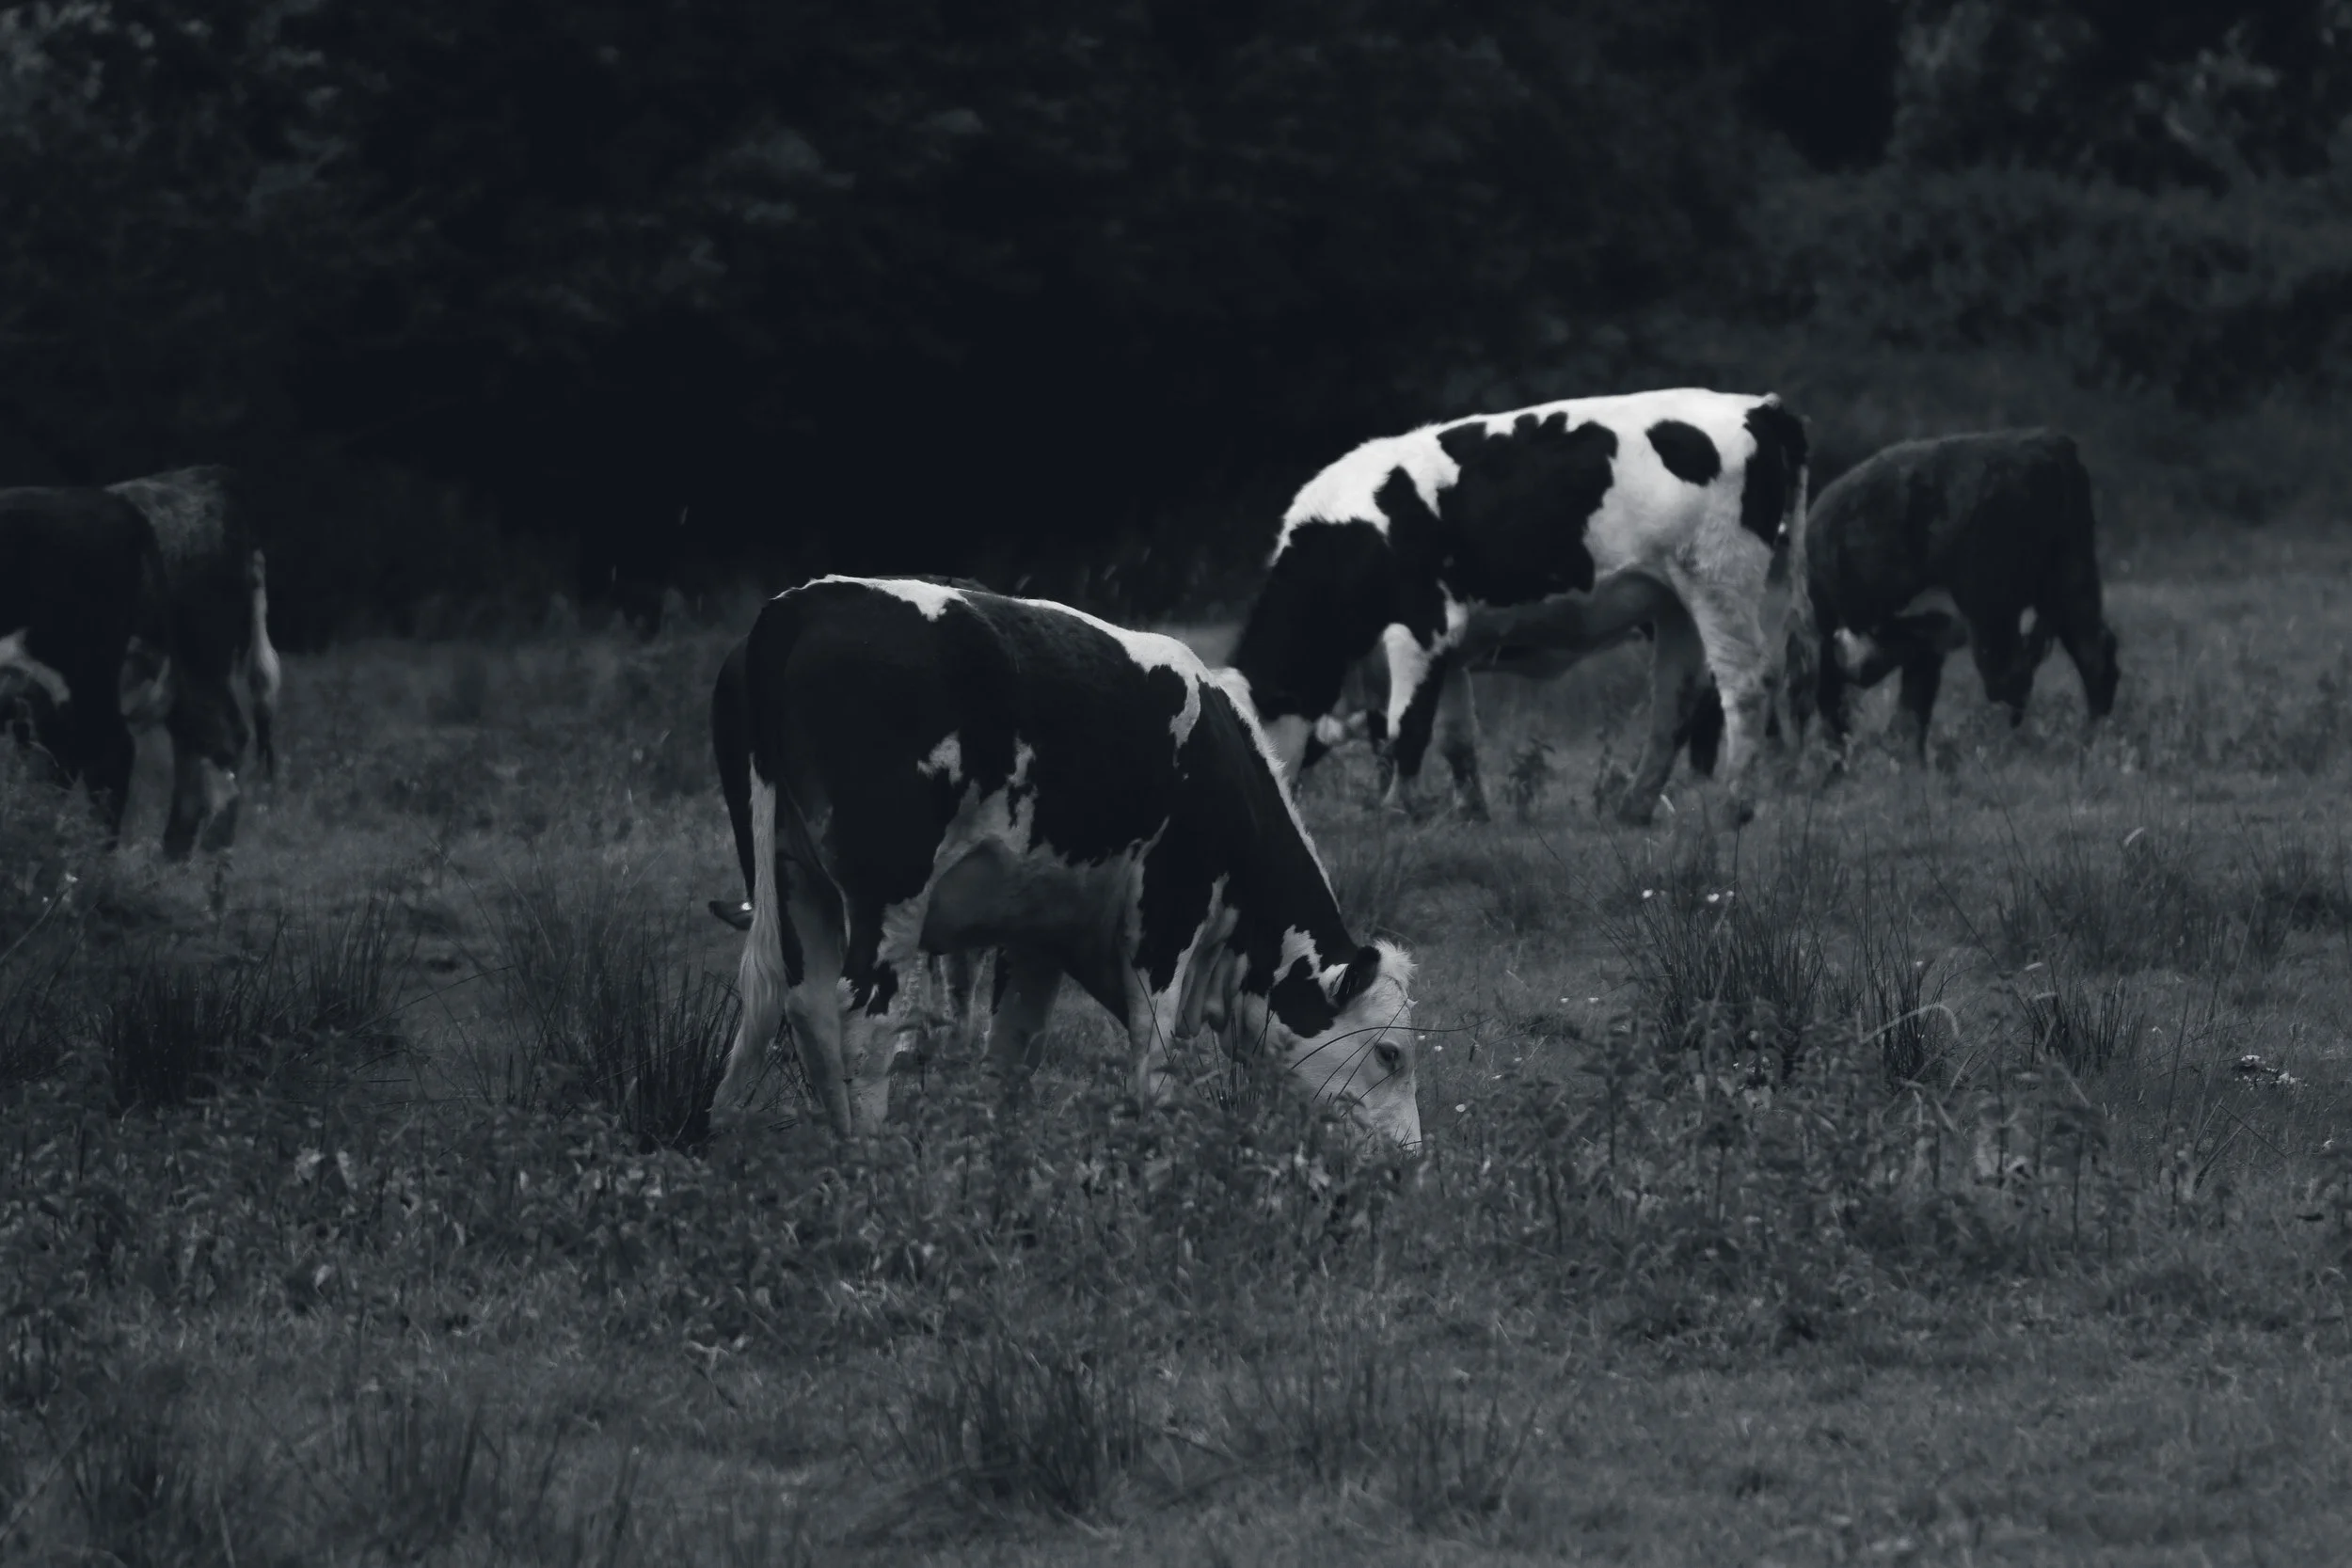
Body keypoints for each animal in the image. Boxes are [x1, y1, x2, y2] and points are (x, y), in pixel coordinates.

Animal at [713, 576, 1422, 1147]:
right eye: (1390, 1054)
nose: (1407, 1161)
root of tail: (798, 605)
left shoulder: (1040, 932)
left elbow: (1011, 1053)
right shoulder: (1171, 909)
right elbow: (1155, 1054)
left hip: (791, 876)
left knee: (804, 1006)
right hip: (888, 889)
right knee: (863, 1017)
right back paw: (870, 1155)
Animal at [1230, 388, 1809, 826]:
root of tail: (1756, 406)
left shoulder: (1421, 629)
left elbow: (1406, 728)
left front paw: (1397, 811)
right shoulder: (1445, 649)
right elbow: (1454, 736)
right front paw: (1469, 813)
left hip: (1719, 582)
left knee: (1744, 686)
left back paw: (1733, 805)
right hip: (1674, 603)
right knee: (1676, 702)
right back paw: (1635, 807)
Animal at [1787, 429, 2120, 758]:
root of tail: (2049, 445)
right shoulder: (1925, 649)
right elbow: (1910, 715)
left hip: (1995, 611)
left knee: (2012, 675)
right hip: (2074, 581)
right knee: (2094, 656)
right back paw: (2090, 746)